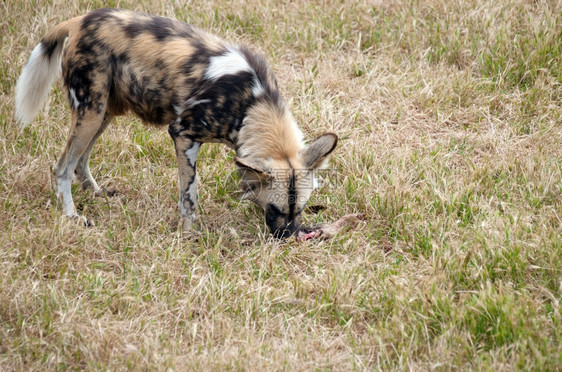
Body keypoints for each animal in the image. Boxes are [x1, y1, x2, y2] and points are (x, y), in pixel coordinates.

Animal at [15, 8, 334, 238]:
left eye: (301, 209)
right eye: (276, 208)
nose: (288, 237)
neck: (252, 104)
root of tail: (79, 20)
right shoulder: (183, 134)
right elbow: (189, 193)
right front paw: (190, 234)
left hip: (104, 111)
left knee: (81, 160)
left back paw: (96, 192)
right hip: (90, 111)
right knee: (63, 167)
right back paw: (72, 216)